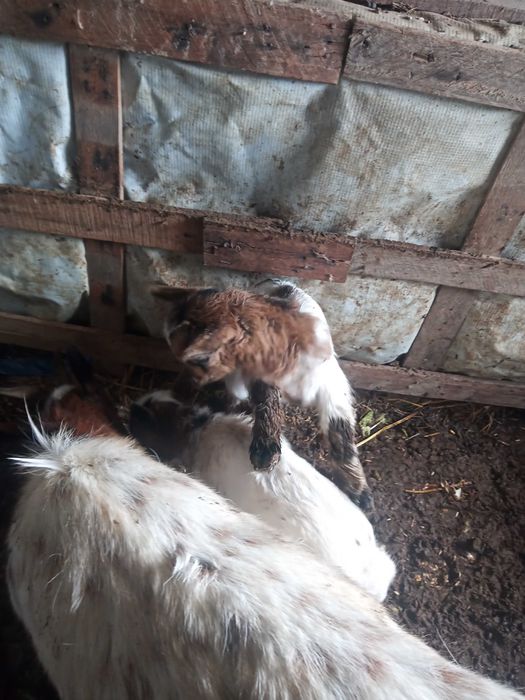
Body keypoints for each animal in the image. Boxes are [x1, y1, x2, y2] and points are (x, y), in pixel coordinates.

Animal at [152, 280, 371, 510]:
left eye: (200, 359)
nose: (180, 387)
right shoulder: (259, 379)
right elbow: (267, 402)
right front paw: (265, 451)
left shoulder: (332, 387)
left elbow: (341, 433)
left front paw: (359, 492)